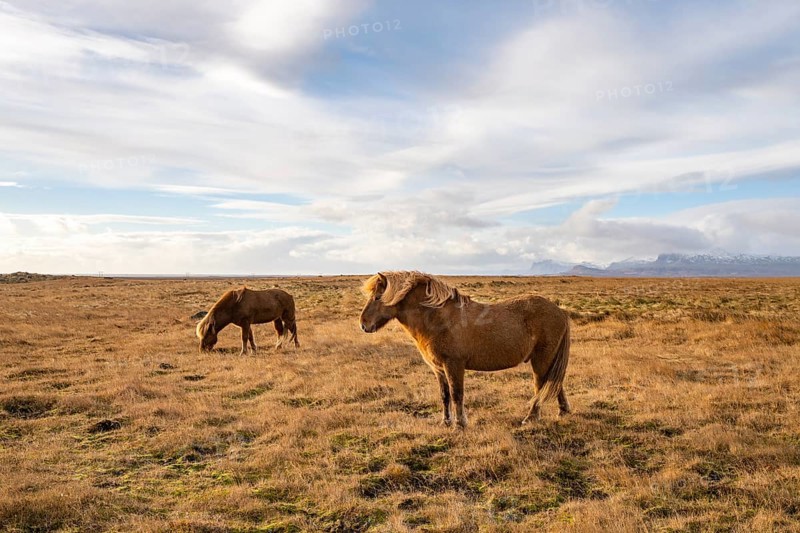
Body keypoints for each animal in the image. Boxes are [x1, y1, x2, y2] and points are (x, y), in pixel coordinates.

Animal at [359, 271, 571, 428]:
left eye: (377, 297)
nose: (363, 324)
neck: (438, 318)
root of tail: (560, 311)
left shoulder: (454, 365)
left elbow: (456, 394)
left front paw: (460, 424)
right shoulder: (439, 369)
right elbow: (444, 395)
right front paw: (445, 422)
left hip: (541, 359)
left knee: (541, 385)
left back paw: (531, 418)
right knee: (554, 383)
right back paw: (563, 411)